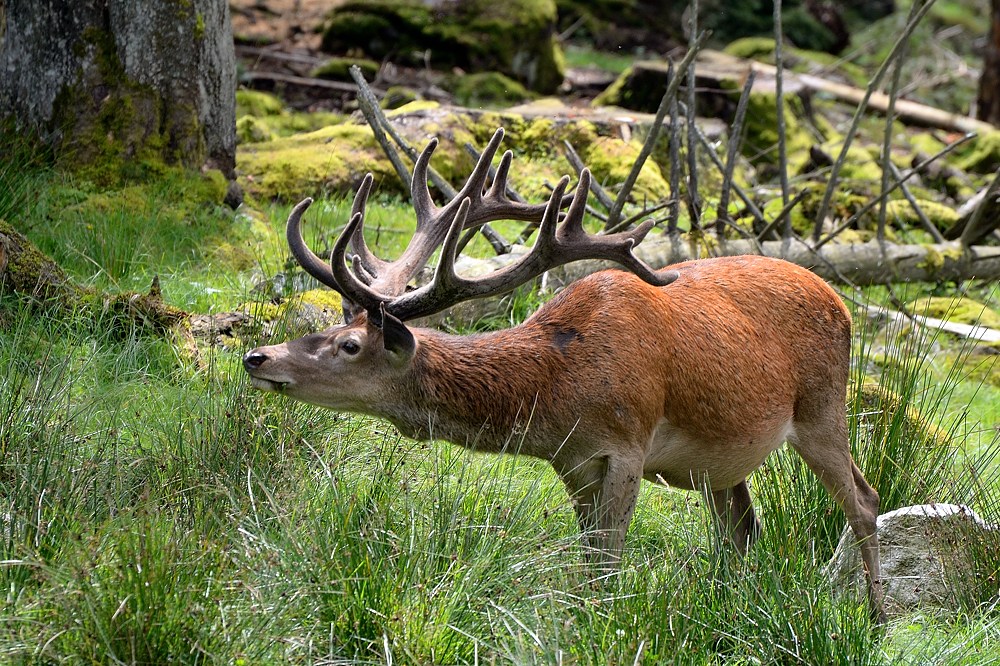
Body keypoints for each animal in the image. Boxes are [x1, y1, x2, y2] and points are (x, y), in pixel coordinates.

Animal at [242, 127, 884, 620]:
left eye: (350, 345)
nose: (257, 357)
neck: (558, 386)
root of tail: (841, 301)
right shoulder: (571, 461)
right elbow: (589, 557)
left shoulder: (628, 441)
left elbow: (609, 558)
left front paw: (604, 625)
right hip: (719, 460)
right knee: (743, 528)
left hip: (823, 405)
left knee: (863, 499)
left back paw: (877, 617)